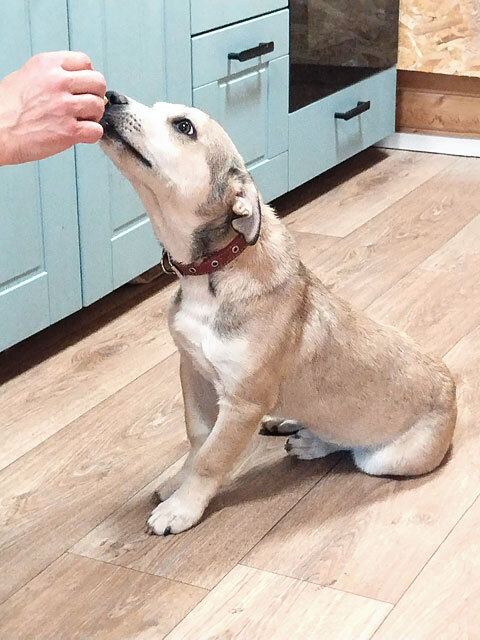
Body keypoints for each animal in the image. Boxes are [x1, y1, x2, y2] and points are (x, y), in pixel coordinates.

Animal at [100, 91, 457, 536]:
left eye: (184, 126)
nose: (111, 96)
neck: (213, 270)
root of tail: (453, 392)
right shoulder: (192, 371)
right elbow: (198, 439)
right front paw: (177, 483)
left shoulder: (243, 402)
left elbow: (212, 458)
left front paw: (181, 508)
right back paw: (288, 423)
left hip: (384, 459)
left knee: (346, 445)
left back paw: (308, 441)